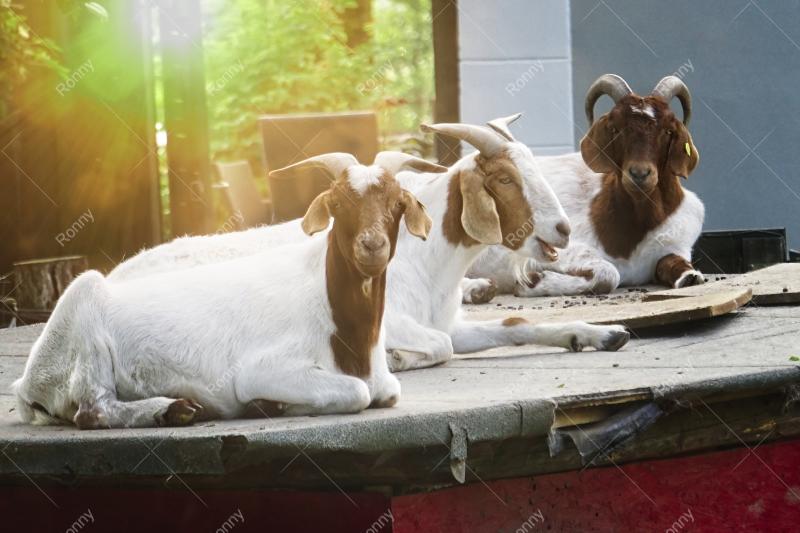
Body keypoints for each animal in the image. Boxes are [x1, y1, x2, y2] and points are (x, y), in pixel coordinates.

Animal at [13, 153, 433, 428]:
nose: (372, 245)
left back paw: (178, 410)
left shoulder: (384, 381)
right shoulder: (262, 370)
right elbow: (357, 393)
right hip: (85, 321)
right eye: (338, 203)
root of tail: (26, 381)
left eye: (397, 203)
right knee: (92, 410)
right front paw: (267, 406)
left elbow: (388, 392)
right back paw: (174, 410)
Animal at [107, 120, 630, 373]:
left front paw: (600, 334)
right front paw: (396, 358)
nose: (563, 229)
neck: (428, 265)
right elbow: (440, 346)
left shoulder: (446, 322)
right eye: (503, 178)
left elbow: (513, 324)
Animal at [465, 75, 705, 299]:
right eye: (615, 129)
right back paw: (477, 289)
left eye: (667, 131)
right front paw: (534, 281)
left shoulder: (676, 243)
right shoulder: (562, 246)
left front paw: (690, 277)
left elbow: (675, 264)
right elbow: (609, 274)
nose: (639, 174)